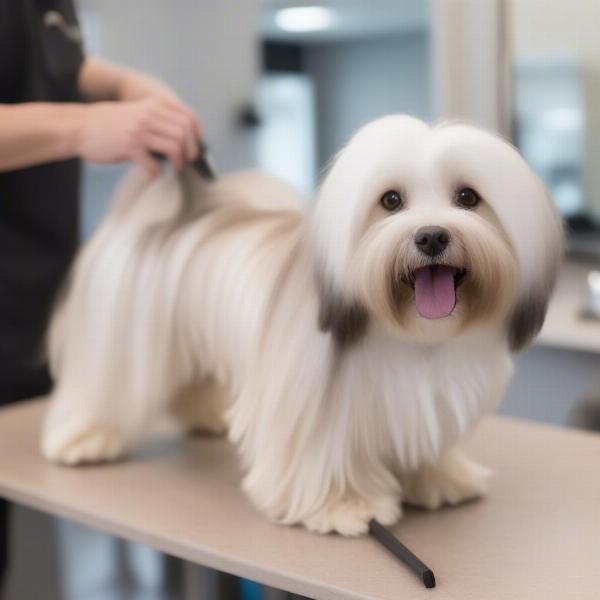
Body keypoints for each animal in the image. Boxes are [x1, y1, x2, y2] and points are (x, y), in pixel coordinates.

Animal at [42, 116, 564, 536]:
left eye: (468, 197)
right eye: (391, 200)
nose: (432, 235)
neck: (409, 337)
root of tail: (185, 208)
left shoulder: (430, 397)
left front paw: (440, 478)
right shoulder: (312, 403)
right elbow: (322, 457)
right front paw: (345, 506)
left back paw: (208, 416)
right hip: (117, 337)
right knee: (104, 390)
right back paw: (85, 439)